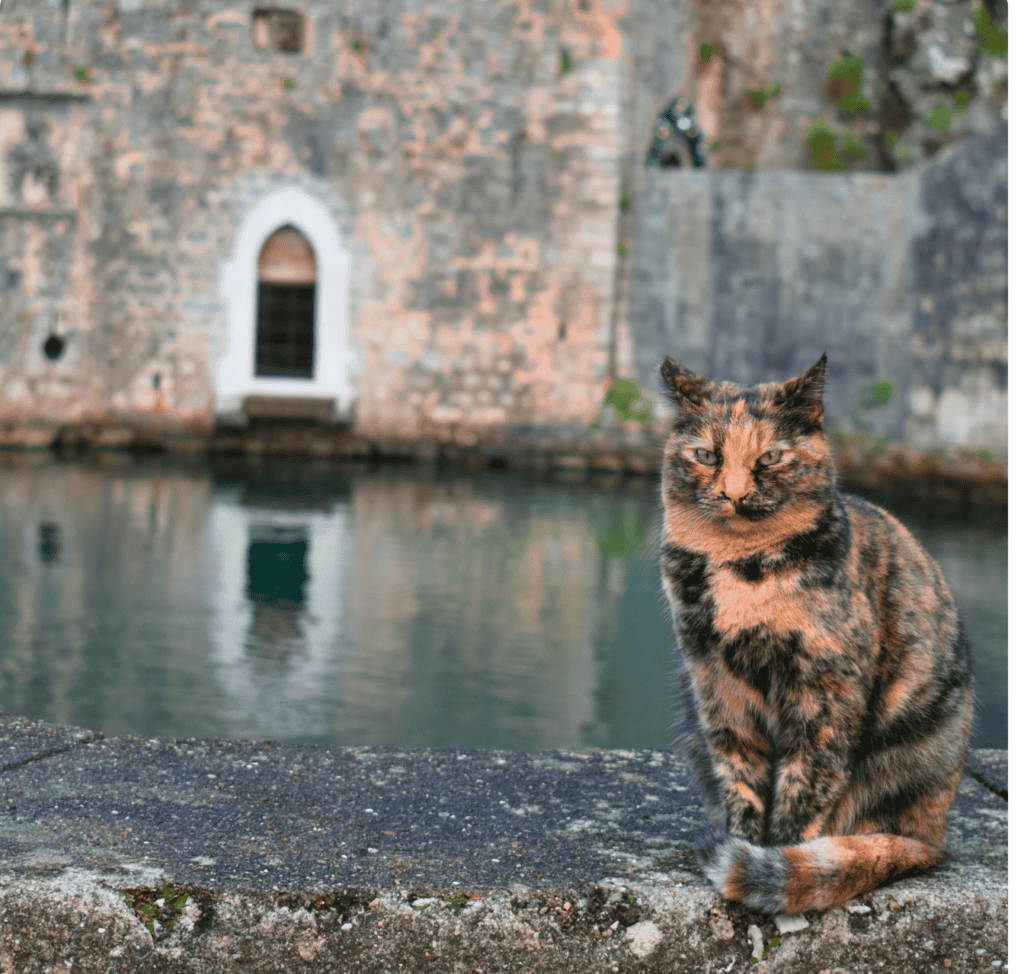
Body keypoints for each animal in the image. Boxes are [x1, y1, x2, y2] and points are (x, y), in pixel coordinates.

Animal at [655, 354, 974, 917]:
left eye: (771, 457)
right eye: (706, 454)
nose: (733, 494)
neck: (741, 568)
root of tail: (933, 838)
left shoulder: (824, 686)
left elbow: (805, 784)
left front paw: (777, 859)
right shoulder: (714, 681)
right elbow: (739, 771)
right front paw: (745, 843)